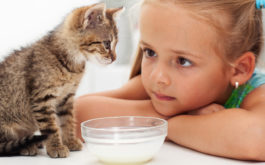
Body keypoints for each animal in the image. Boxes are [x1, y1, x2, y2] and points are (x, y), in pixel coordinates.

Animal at [0, 2, 120, 157]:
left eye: (115, 43)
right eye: (107, 44)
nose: (114, 58)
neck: (72, 64)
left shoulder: (66, 98)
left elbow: (67, 121)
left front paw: (69, 141)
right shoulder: (42, 99)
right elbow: (51, 127)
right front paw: (56, 147)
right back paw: (26, 147)